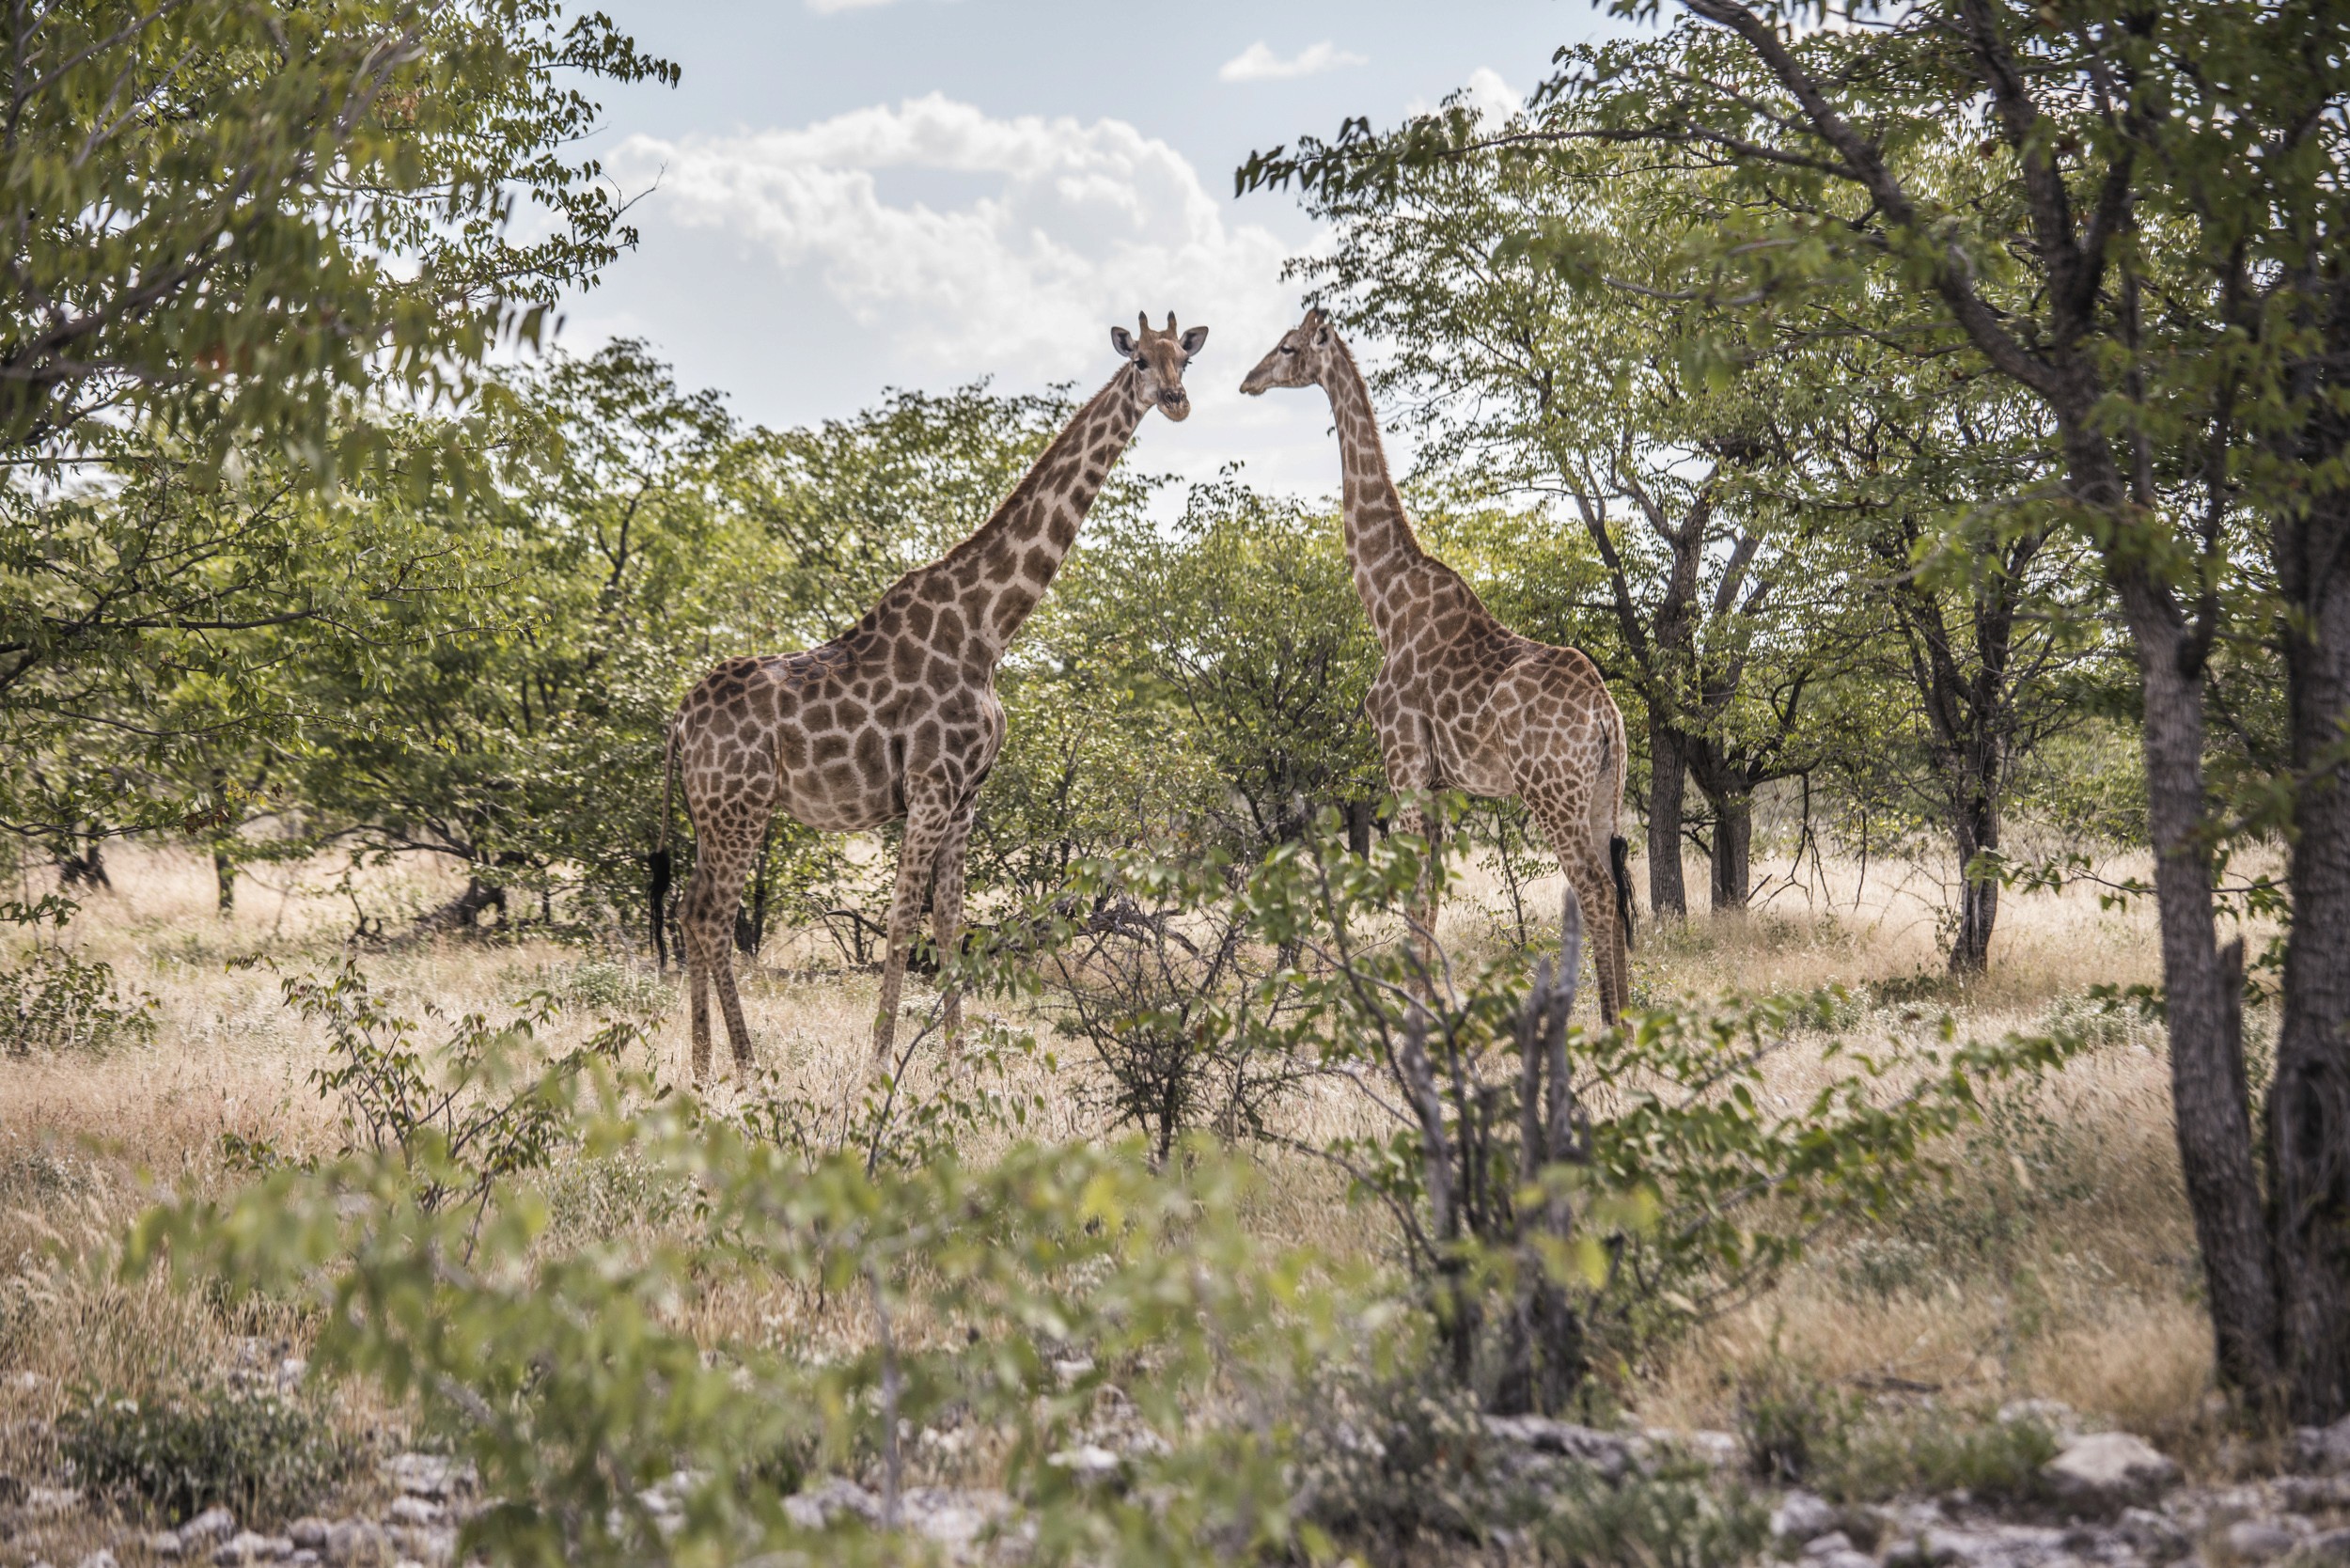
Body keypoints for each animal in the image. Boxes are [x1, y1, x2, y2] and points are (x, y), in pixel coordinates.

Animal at [654, 312, 1209, 1080]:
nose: (1178, 400)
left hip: (715, 812)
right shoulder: (931, 785)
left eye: (1184, 356)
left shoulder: (968, 794)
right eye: (1139, 365)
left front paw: (957, 1065)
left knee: (688, 908)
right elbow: (900, 919)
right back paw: (745, 1065)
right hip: (739, 808)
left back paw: (705, 1065)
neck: (989, 629)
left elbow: (949, 921)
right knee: (710, 916)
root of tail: (680, 719)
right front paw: (881, 1063)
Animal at [1241, 306, 1634, 1020]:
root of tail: (1605, 713)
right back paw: (1627, 1019)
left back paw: (1603, 1023)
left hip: (1549, 790)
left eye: (1286, 347)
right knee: (1617, 890)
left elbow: (1414, 896)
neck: (1384, 599)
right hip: (1602, 791)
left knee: (1592, 888)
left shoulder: (1403, 763)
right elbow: (1428, 896)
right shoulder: (1443, 782)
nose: (1247, 381)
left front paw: (1415, 1012)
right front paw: (1429, 1005)